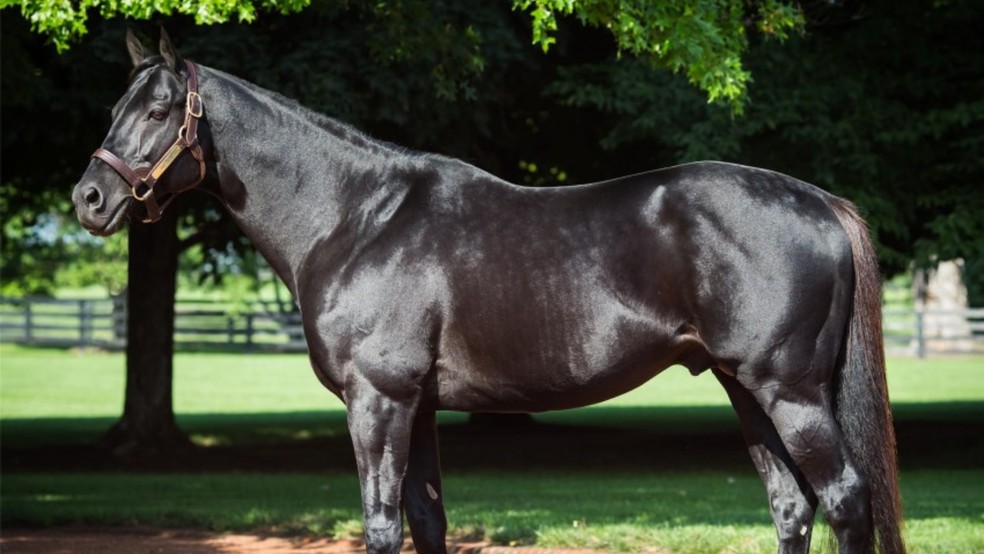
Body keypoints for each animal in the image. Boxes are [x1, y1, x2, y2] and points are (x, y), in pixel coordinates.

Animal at [72, 30, 904, 554]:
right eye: (112, 109)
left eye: (157, 111)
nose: (88, 200)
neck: (358, 217)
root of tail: (820, 202)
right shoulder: (418, 407)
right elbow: (427, 522)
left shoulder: (378, 401)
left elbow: (382, 525)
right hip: (744, 388)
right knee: (792, 506)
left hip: (789, 391)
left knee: (844, 500)